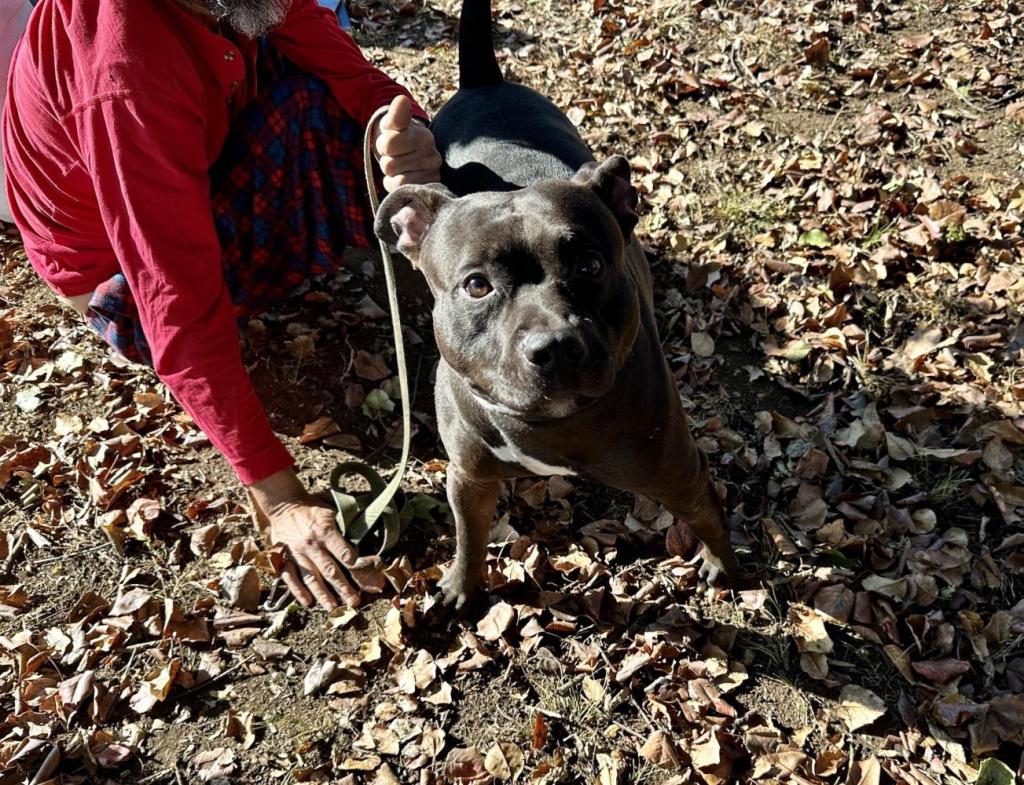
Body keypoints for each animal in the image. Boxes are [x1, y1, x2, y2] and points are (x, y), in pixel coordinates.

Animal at [374, 0, 737, 614]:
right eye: (476, 286)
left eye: (589, 265)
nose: (557, 348)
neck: (546, 424)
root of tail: (486, 82)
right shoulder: (468, 478)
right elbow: (470, 536)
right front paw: (460, 587)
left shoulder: (679, 473)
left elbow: (708, 513)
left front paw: (724, 565)